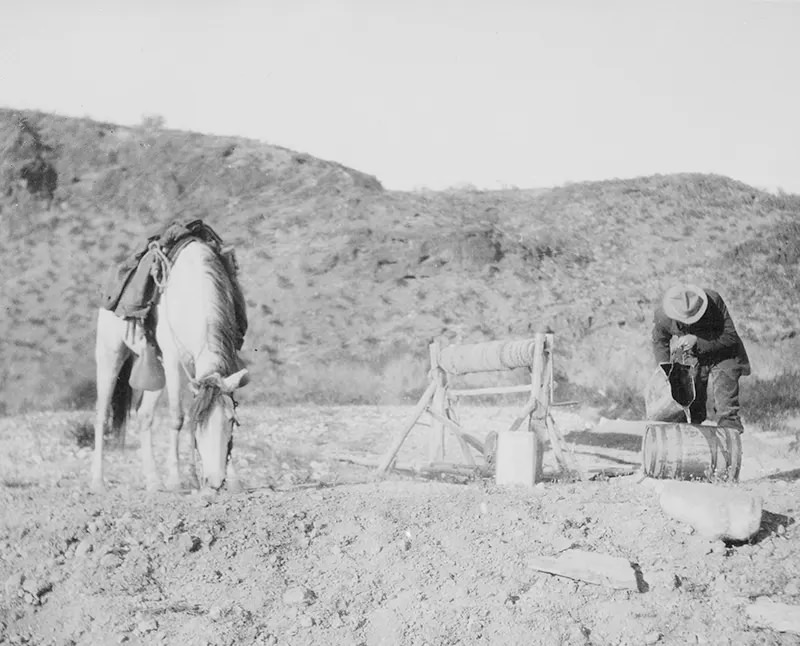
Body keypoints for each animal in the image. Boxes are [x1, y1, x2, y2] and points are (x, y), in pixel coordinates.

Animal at [91, 240, 247, 494]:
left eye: (231, 422)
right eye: (198, 424)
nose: (215, 481)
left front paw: (233, 480)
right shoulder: (175, 362)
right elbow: (177, 417)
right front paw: (176, 480)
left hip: (156, 369)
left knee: (144, 414)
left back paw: (153, 480)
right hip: (110, 354)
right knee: (101, 415)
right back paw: (98, 481)